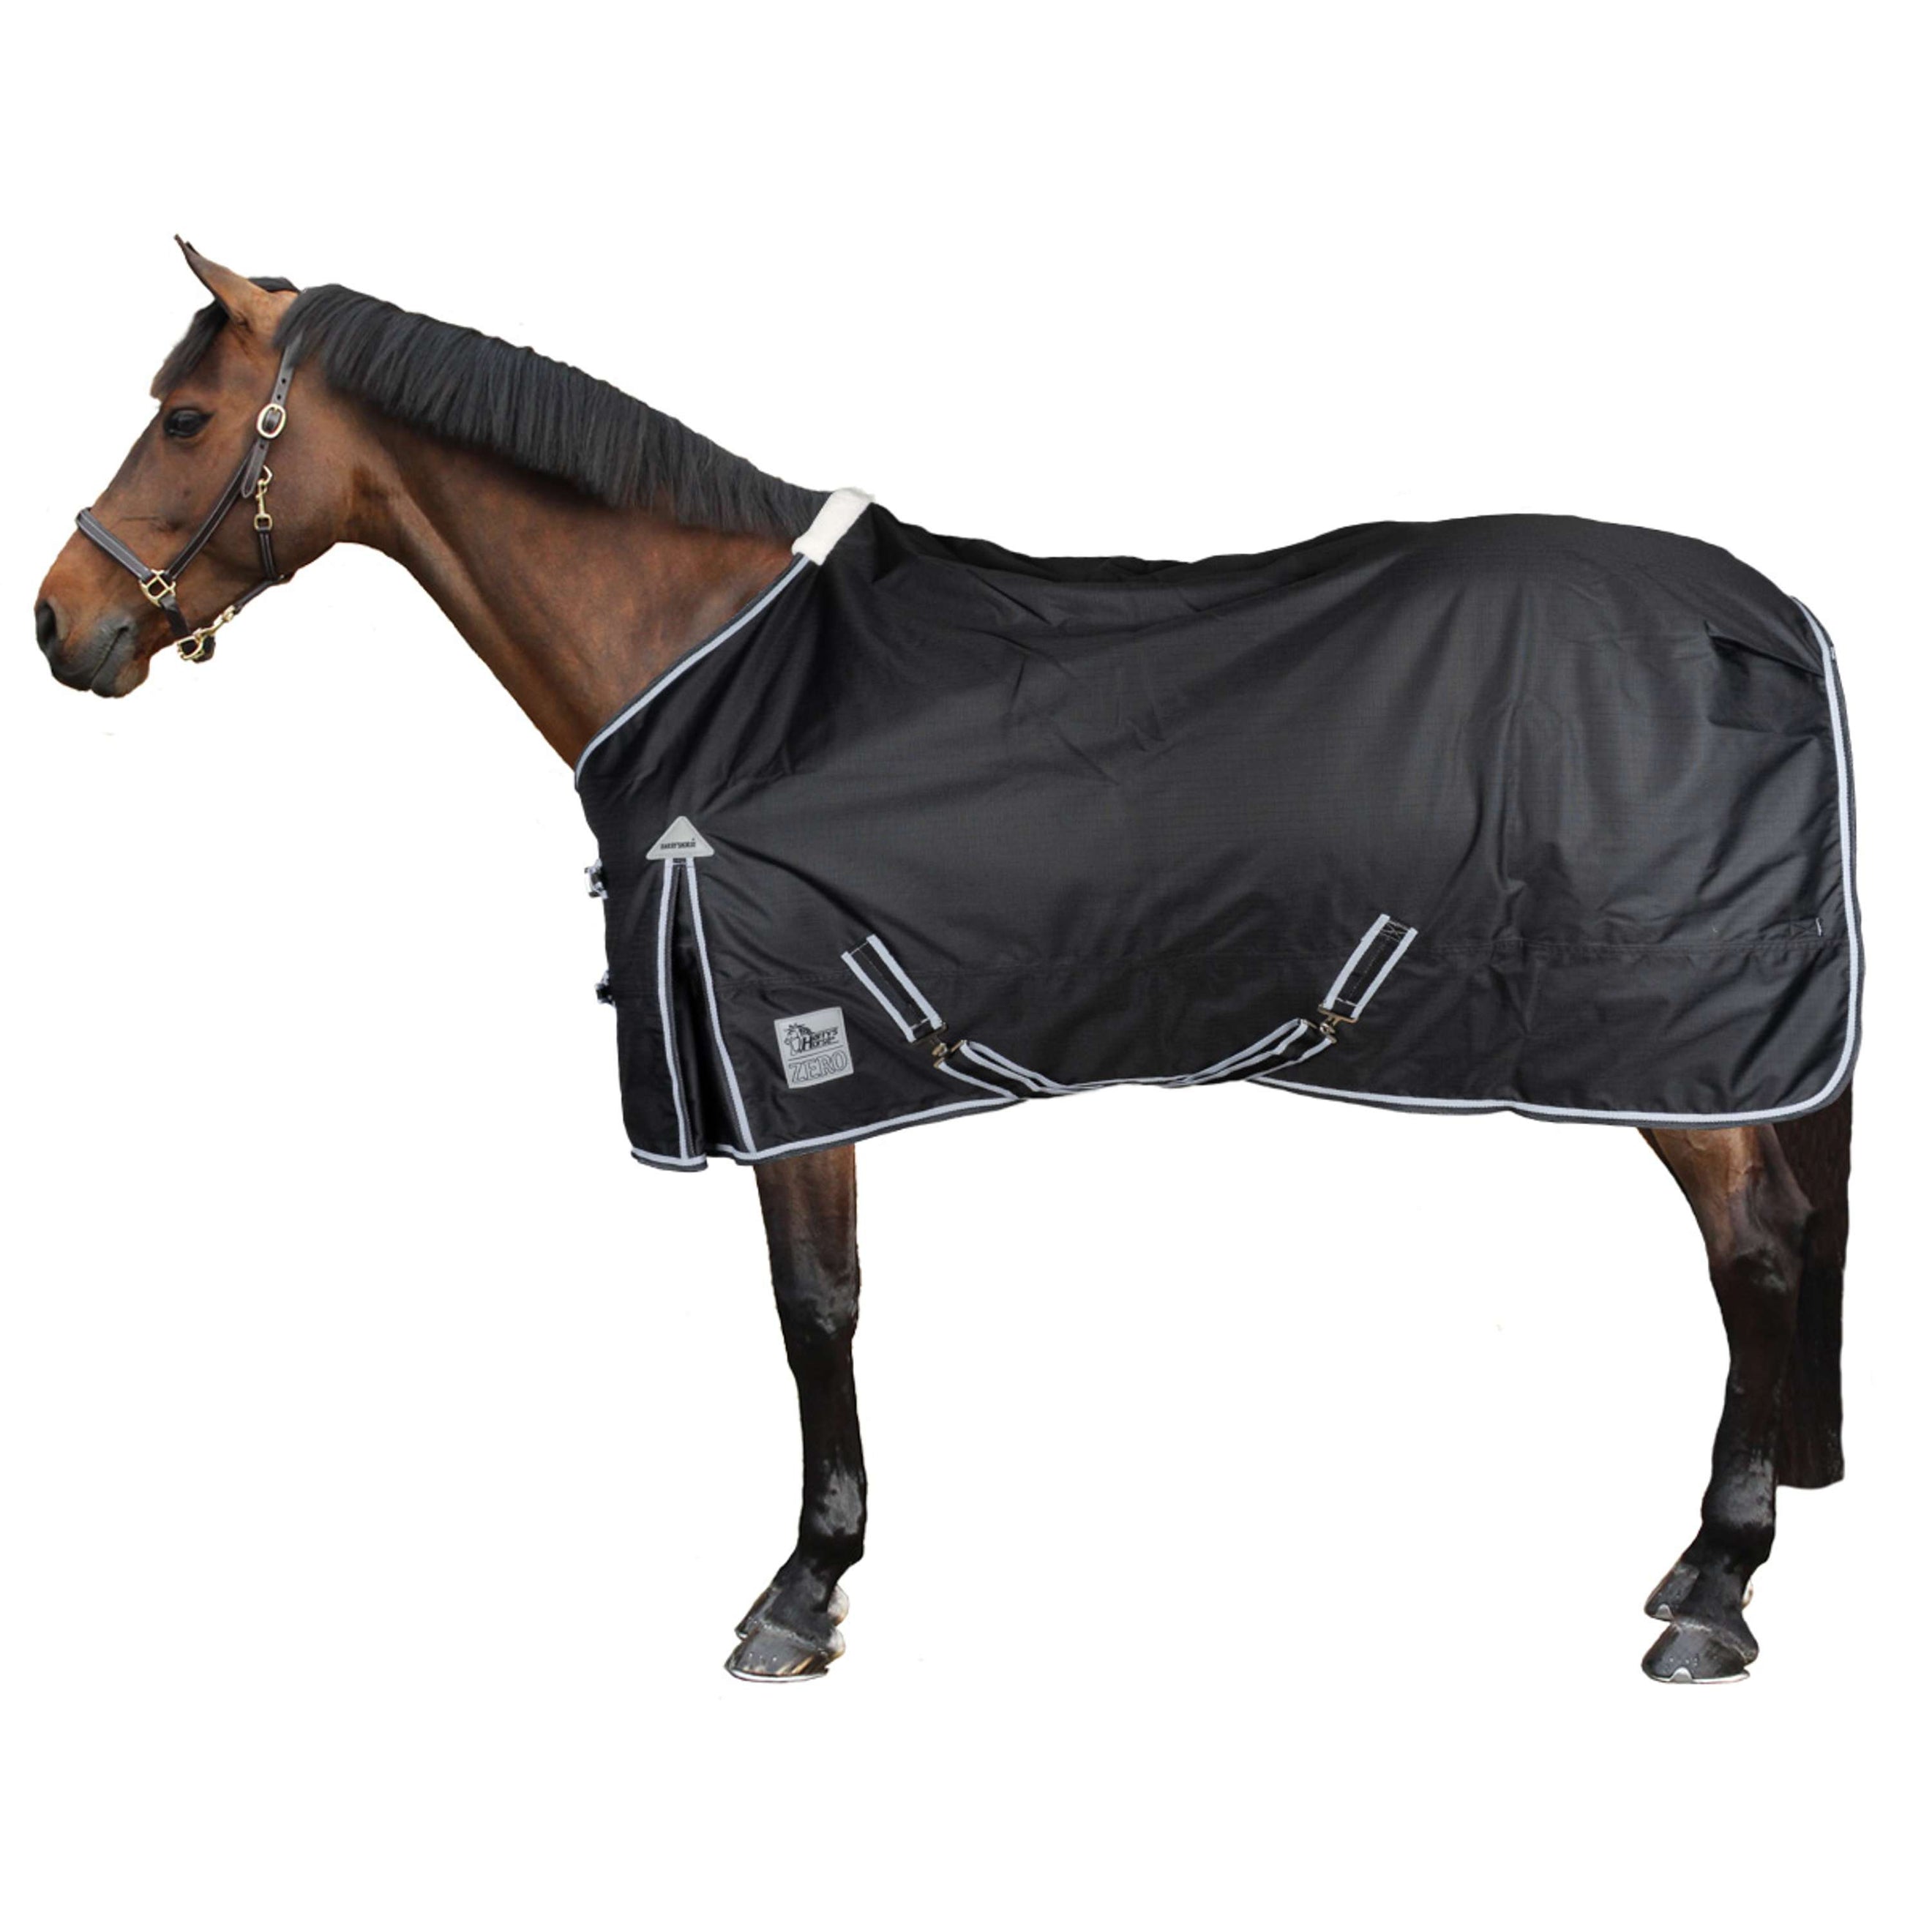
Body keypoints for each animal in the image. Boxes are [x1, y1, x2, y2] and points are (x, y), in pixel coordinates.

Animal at [34, 241, 1855, 1684]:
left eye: (185, 419)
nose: (61, 624)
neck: (732, 675)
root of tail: (1758, 617)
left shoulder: (793, 1044)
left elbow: (814, 1308)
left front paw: (802, 1588)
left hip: (1672, 1046)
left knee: (1757, 1252)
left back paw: (1715, 1591)